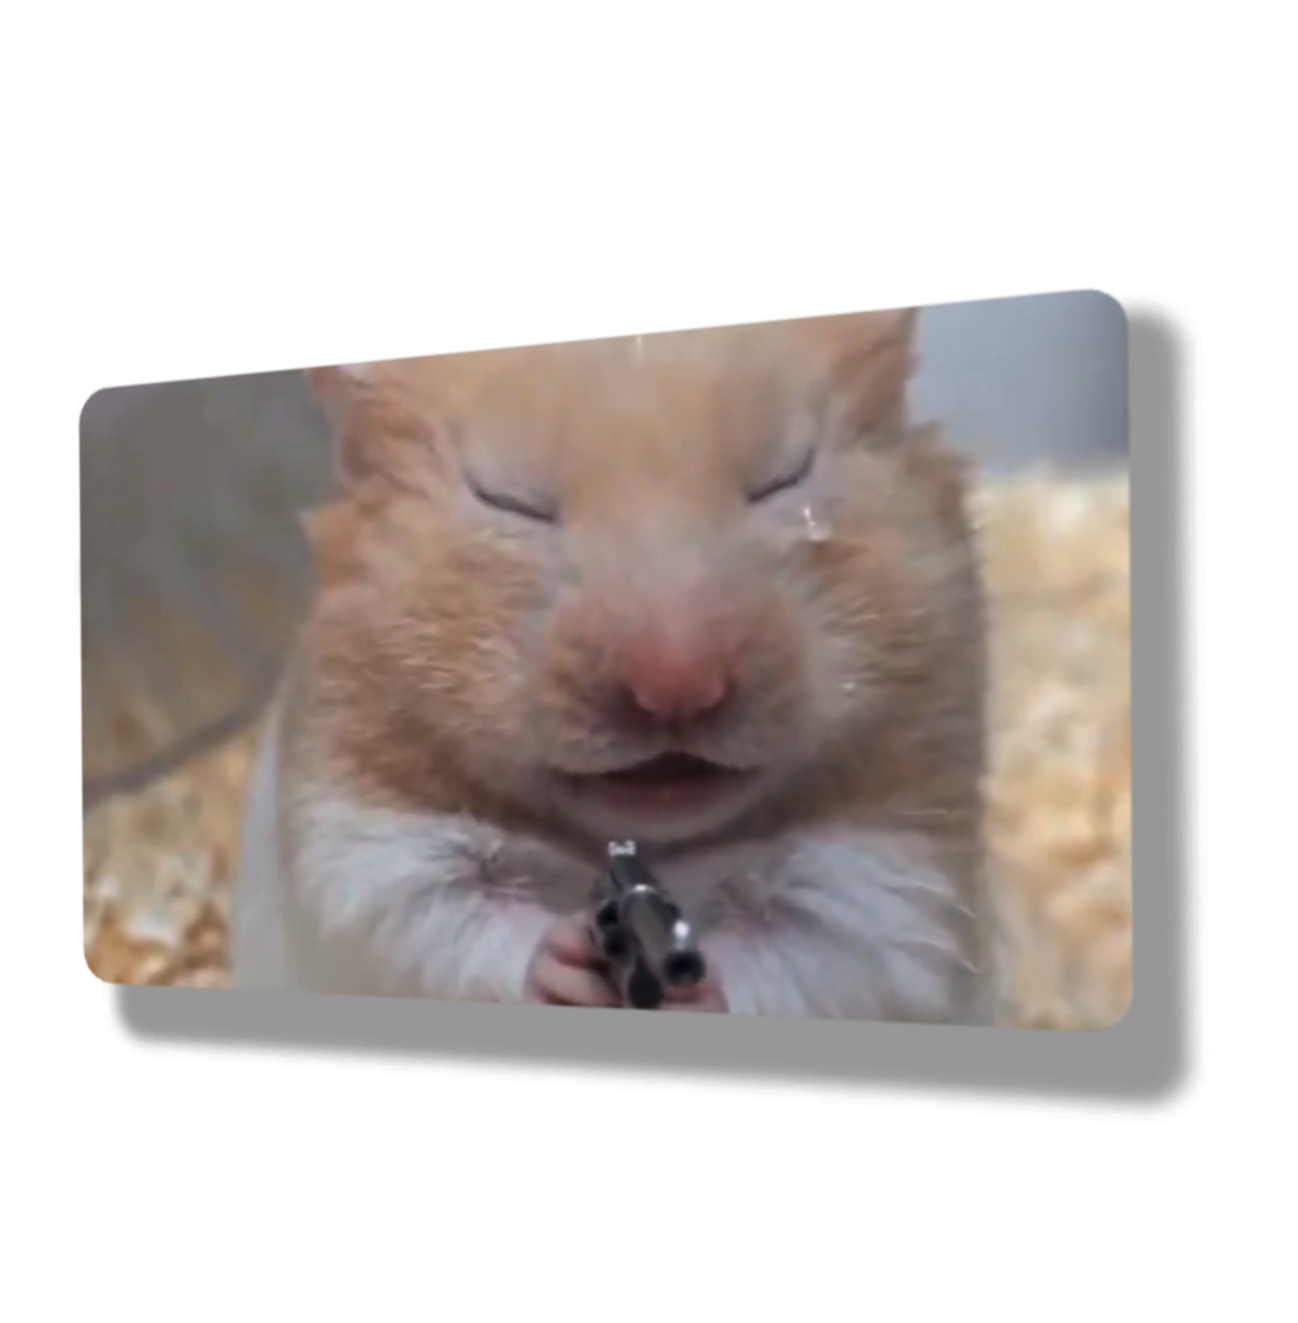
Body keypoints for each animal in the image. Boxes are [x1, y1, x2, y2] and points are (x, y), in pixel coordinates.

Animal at [231, 310, 996, 1025]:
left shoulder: (887, 883)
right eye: (508, 500)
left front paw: (696, 987)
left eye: (786, 478)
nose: (677, 685)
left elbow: (809, 953)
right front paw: (563, 961)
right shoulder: (363, 846)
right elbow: (445, 920)